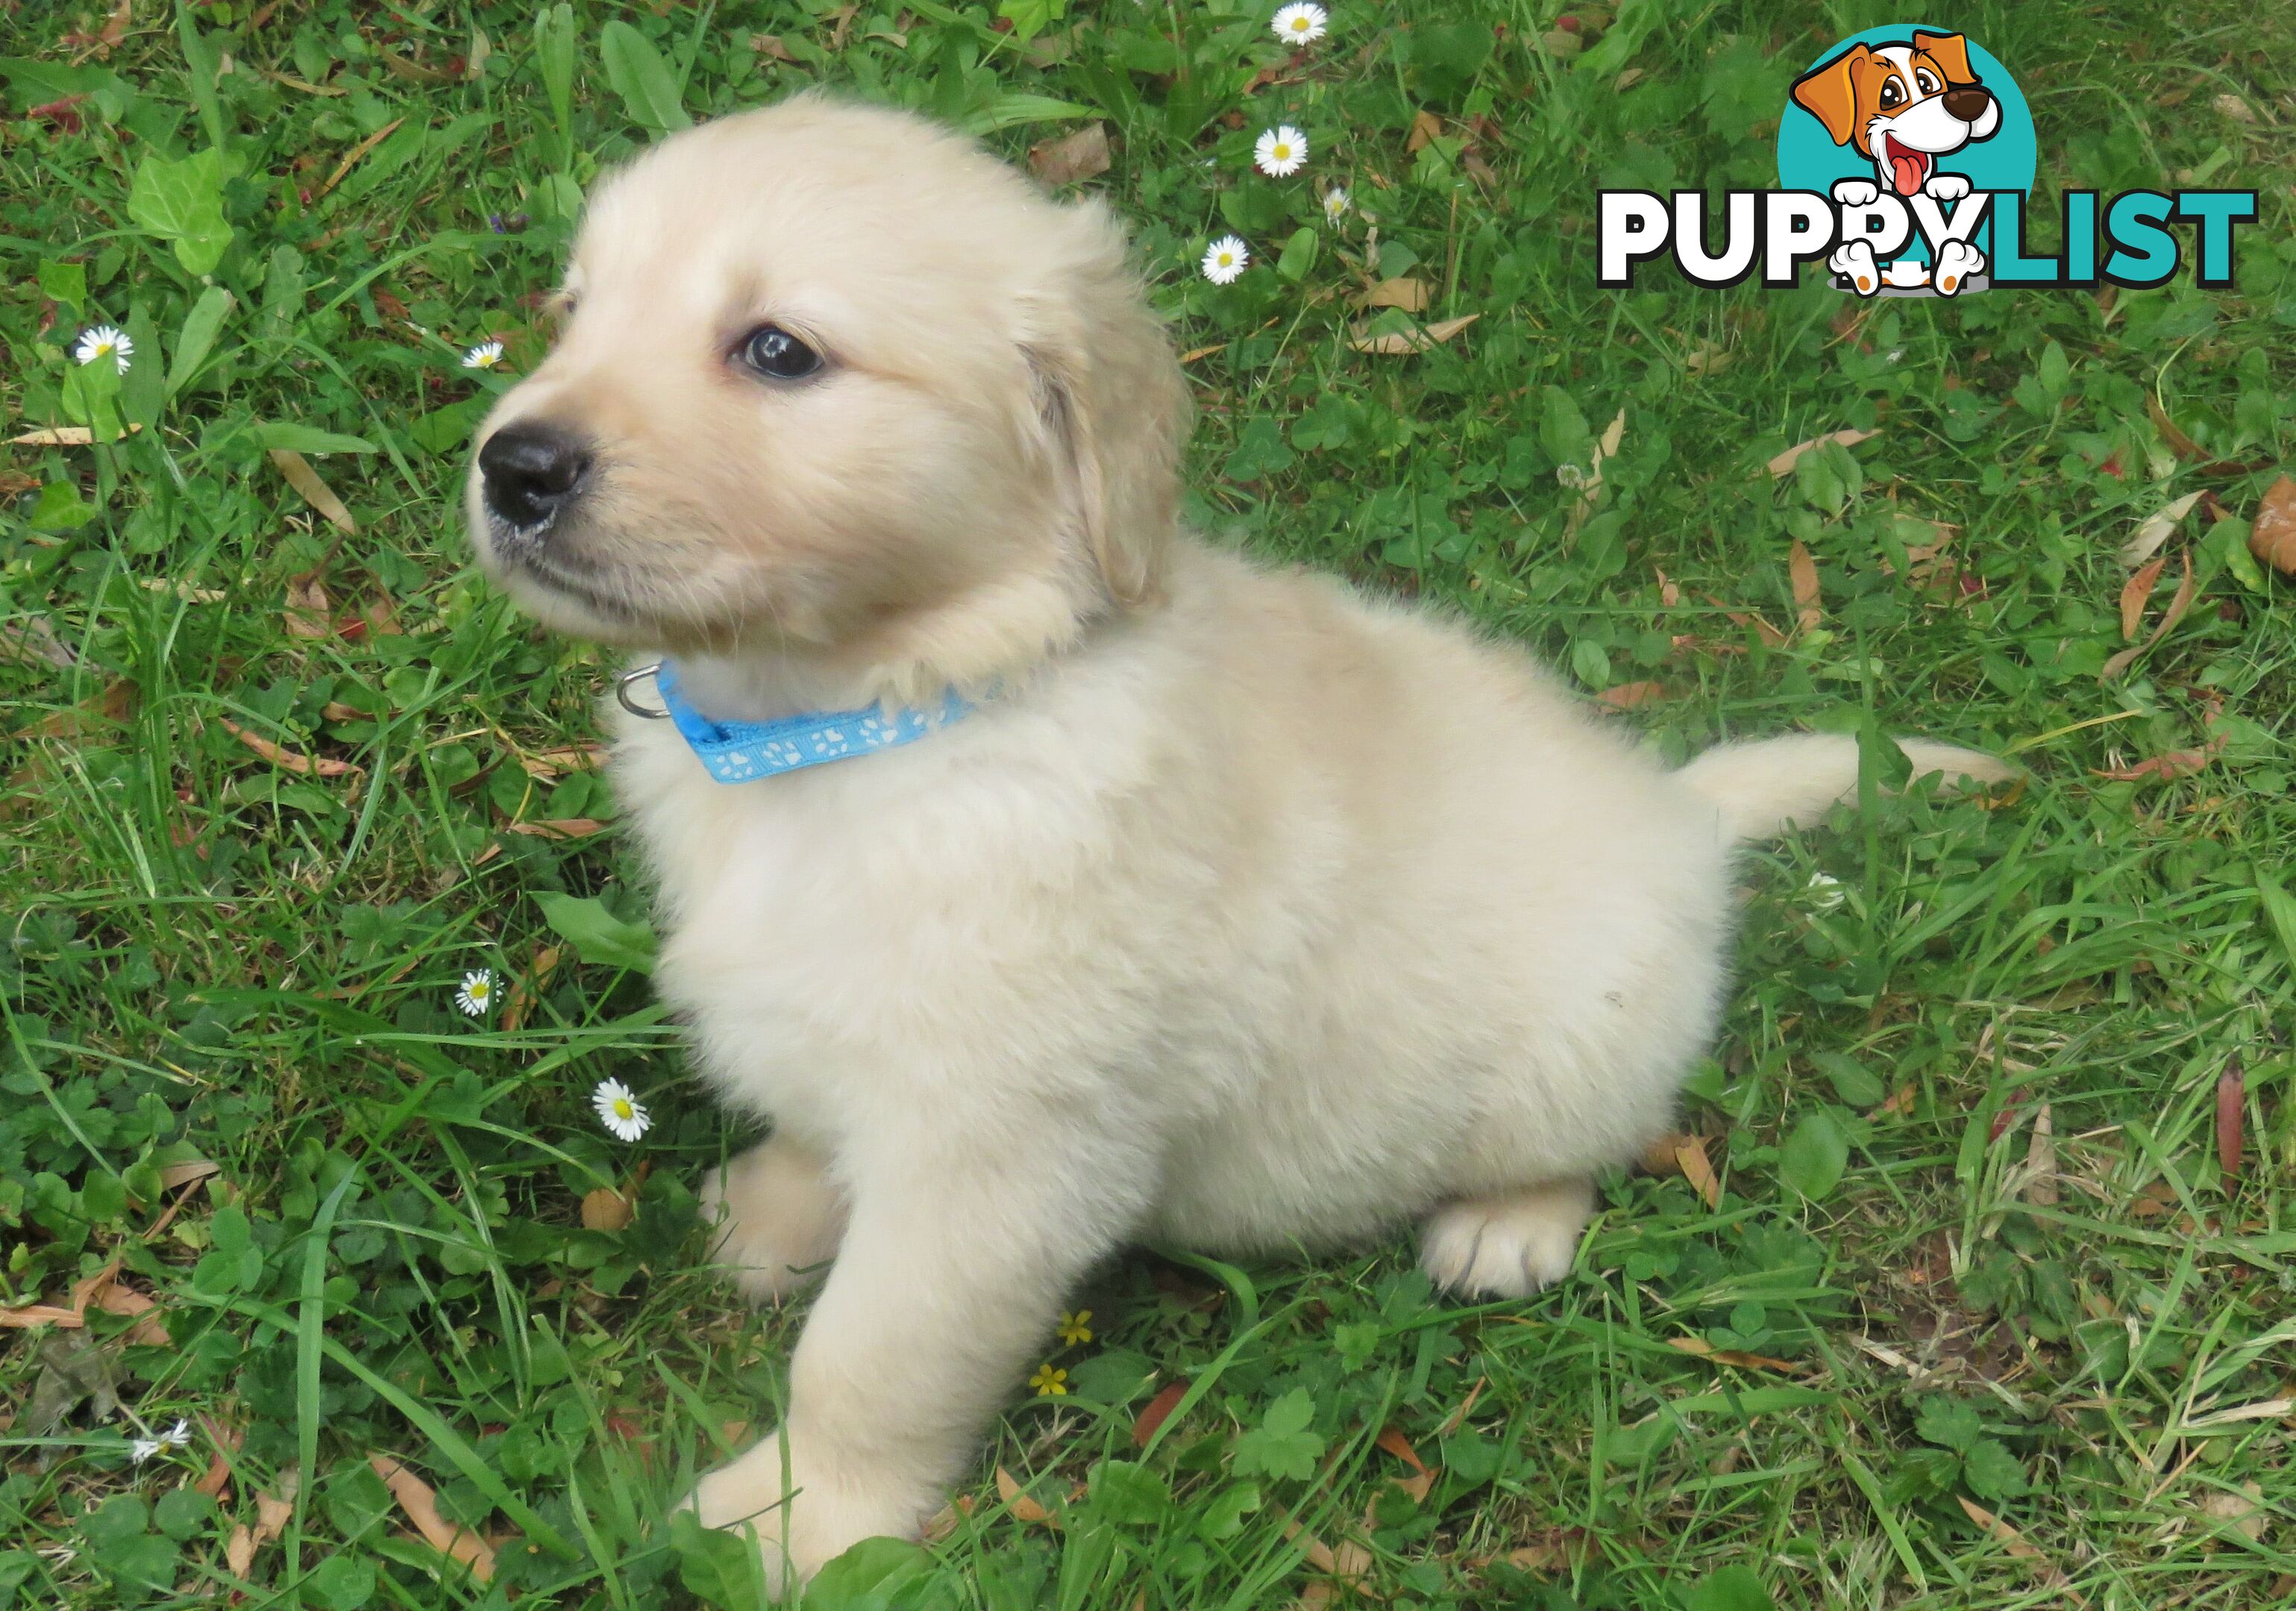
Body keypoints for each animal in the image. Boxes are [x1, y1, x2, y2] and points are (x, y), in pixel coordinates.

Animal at [465, 92, 2011, 1588]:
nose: (511, 467)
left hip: (1580, 1042)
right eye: (572, 310)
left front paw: (792, 1525)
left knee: (1599, 1133)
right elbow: (802, 1122)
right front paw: (771, 1218)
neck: (883, 718)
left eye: (778, 351)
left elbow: (870, 1362)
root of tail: (1678, 816)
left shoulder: (997, 1162)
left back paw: (1506, 1223)